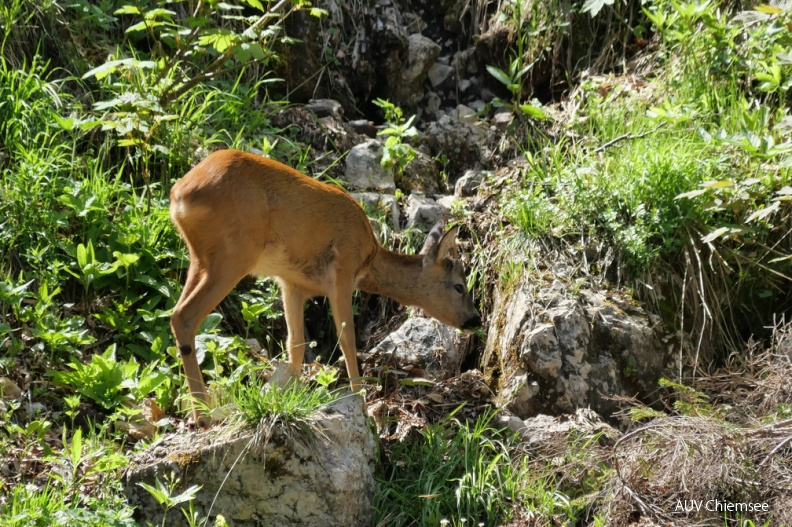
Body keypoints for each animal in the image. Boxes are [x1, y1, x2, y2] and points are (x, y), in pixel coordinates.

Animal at [169, 150, 480, 428]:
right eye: (459, 286)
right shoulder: (342, 270)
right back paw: (203, 415)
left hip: (200, 258)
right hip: (233, 254)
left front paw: (288, 399)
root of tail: (179, 195)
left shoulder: (292, 283)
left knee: (177, 314)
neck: (369, 258)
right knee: (184, 315)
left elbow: (295, 344)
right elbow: (347, 339)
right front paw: (361, 402)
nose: (475, 319)